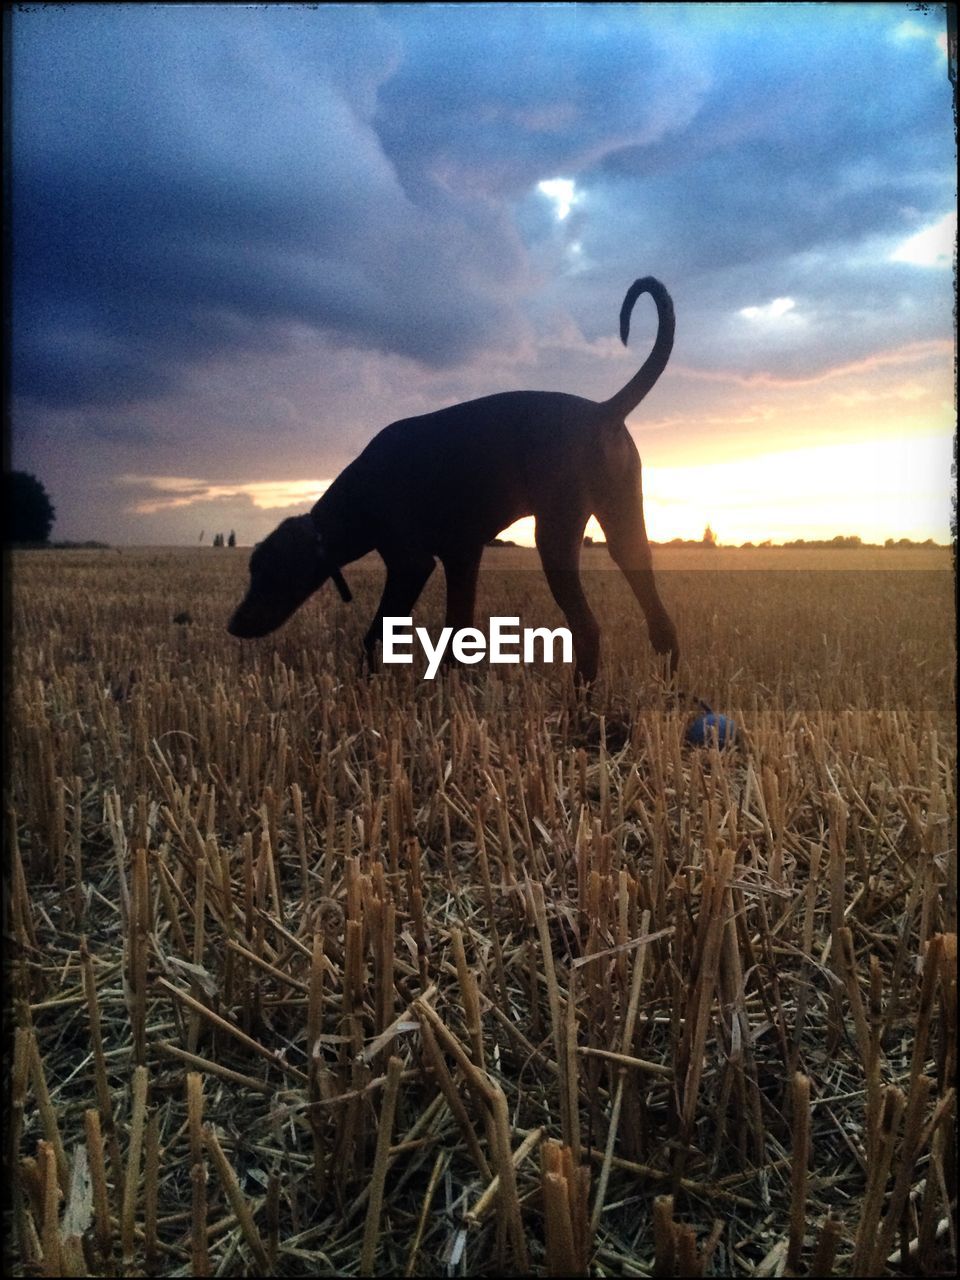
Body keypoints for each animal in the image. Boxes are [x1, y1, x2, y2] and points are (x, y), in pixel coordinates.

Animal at [231, 276, 686, 686]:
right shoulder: (462, 557)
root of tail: (604, 411)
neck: (357, 496)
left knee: (588, 629)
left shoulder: (411, 564)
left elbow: (376, 633)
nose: (233, 624)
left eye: (269, 571)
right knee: (660, 620)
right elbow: (458, 631)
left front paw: (366, 684)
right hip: (624, 525)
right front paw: (452, 688)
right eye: (252, 570)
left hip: (556, 535)